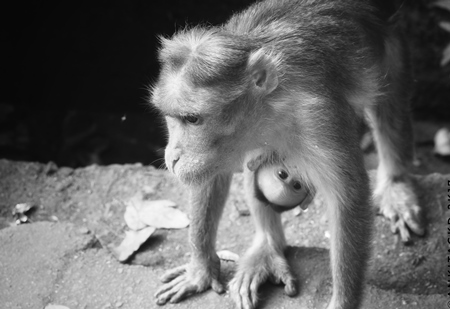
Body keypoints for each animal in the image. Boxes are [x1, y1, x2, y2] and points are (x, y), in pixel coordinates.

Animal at [149, 0, 424, 308]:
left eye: (193, 119)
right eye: (170, 116)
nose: (173, 157)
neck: (270, 102)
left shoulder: (317, 117)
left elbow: (347, 197)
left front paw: (342, 302)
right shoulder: (223, 146)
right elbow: (211, 173)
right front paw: (200, 270)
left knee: (390, 84)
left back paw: (396, 181)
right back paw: (267, 247)